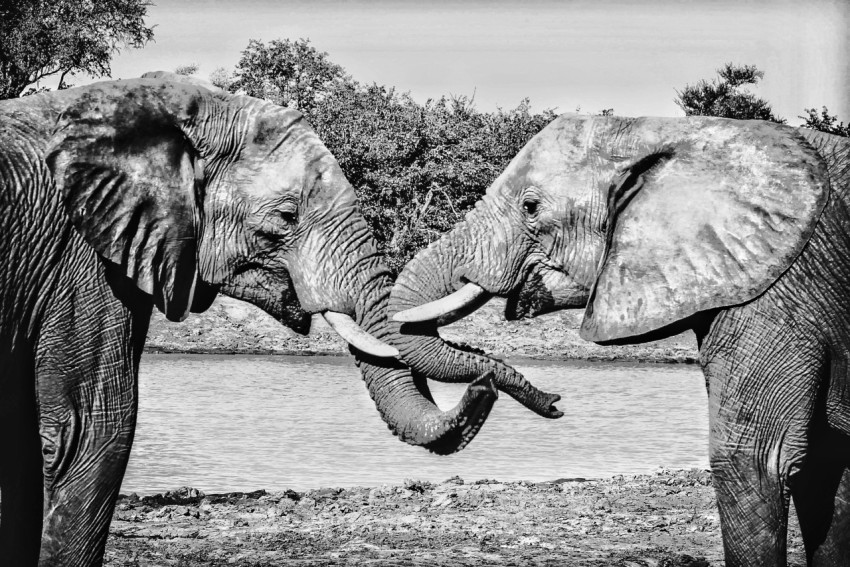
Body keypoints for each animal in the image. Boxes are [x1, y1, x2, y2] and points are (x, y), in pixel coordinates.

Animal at [390, 113, 848, 564]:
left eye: (530, 207)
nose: (555, 402)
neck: (669, 130)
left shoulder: (781, 288)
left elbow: (755, 459)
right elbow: (827, 468)